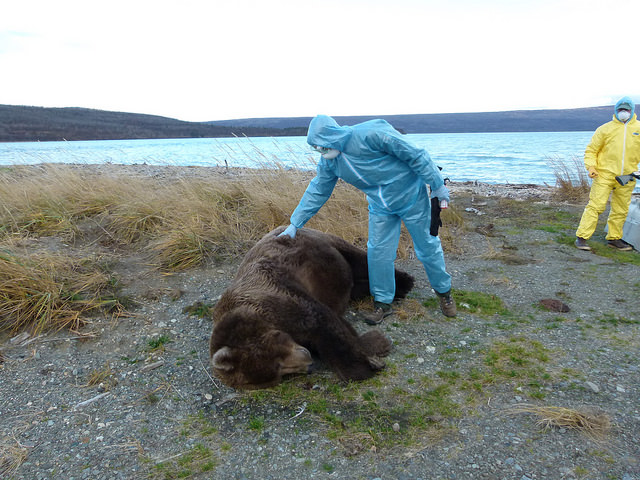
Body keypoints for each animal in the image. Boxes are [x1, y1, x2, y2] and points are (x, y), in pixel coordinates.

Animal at [208, 227, 412, 388]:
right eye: (280, 374)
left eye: (278, 363)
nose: (308, 362)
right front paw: (376, 344)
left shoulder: (279, 296)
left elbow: (325, 326)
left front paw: (366, 363)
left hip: (325, 245)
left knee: (361, 260)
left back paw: (405, 283)